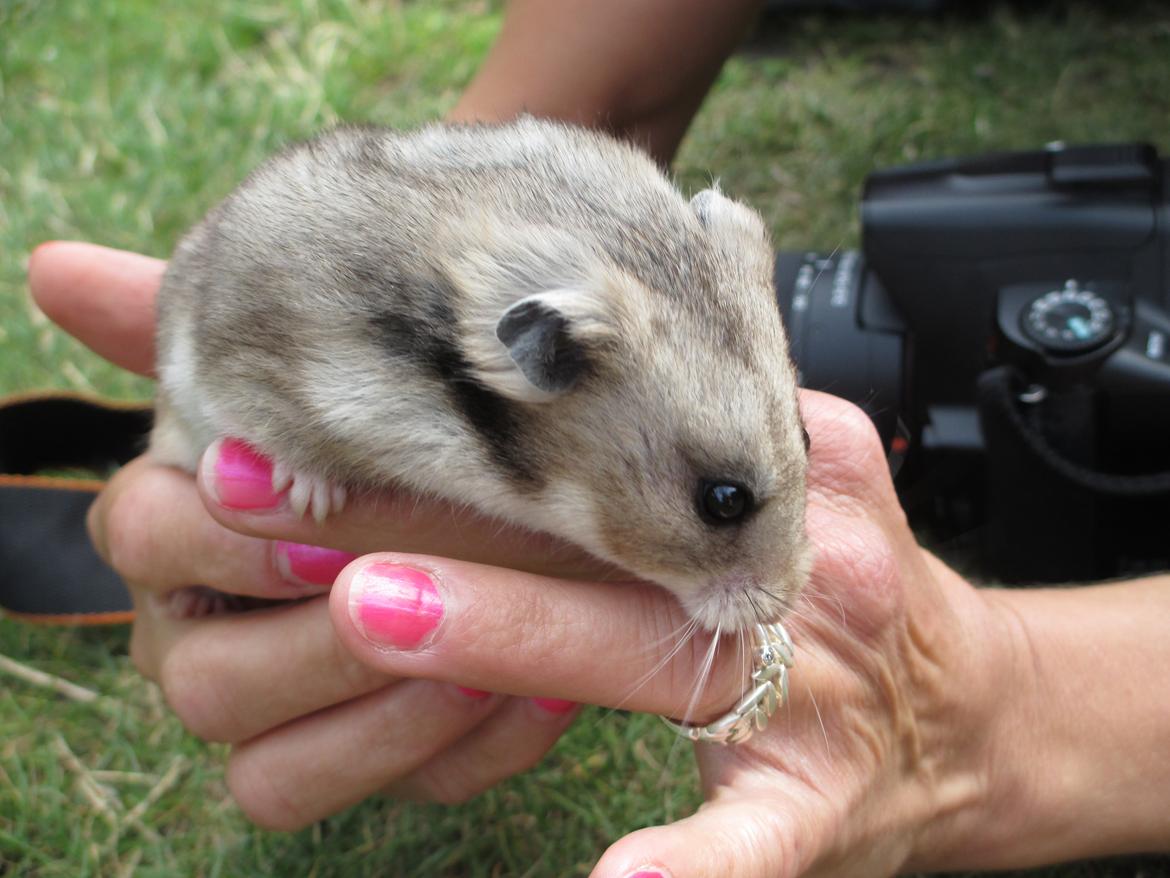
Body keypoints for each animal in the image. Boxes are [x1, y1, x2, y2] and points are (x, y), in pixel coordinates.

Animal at [150, 117, 811, 632]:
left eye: (806, 437)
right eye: (722, 500)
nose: (779, 609)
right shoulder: (256, 360)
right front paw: (311, 501)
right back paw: (191, 602)